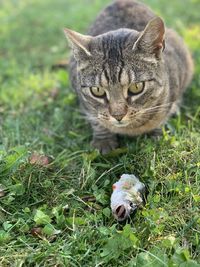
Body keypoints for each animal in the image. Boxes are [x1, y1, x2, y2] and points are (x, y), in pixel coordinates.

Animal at [63, 0, 192, 155]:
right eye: (97, 91)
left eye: (136, 87)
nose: (118, 116)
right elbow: (95, 118)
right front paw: (103, 140)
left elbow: (162, 115)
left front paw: (156, 134)